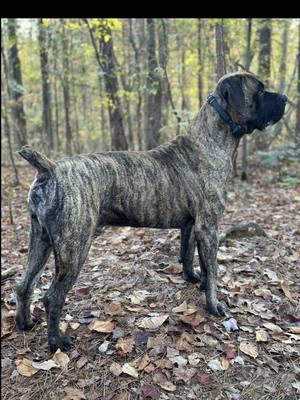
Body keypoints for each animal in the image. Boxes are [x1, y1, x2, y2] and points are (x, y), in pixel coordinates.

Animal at [15, 72, 288, 354]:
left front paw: (193, 279)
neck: (210, 139)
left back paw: (25, 323)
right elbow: (213, 269)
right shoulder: (209, 226)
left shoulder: (192, 226)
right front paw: (213, 304)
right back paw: (56, 342)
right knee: (52, 296)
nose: (285, 97)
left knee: (24, 286)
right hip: (74, 247)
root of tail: (50, 168)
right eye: (259, 91)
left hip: (40, 242)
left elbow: (190, 255)